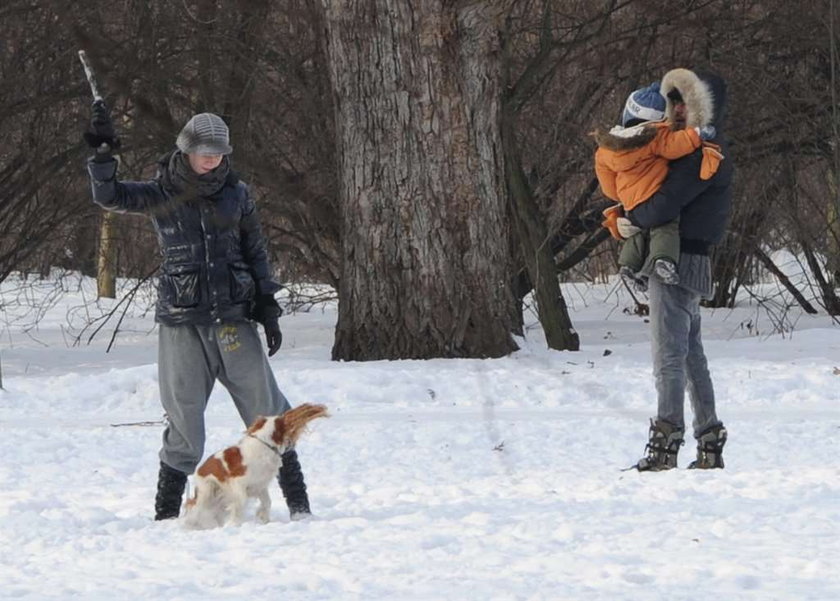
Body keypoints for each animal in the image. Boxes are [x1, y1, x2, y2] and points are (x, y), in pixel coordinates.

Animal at [184, 404, 328, 528]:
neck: (265, 445)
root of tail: (198, 471)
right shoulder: (238, 483)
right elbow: (240, 502)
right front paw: (234, 524)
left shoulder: (260, 485)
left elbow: (267, 502)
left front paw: (263, 518)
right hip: (207, 490)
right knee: (195, 509)